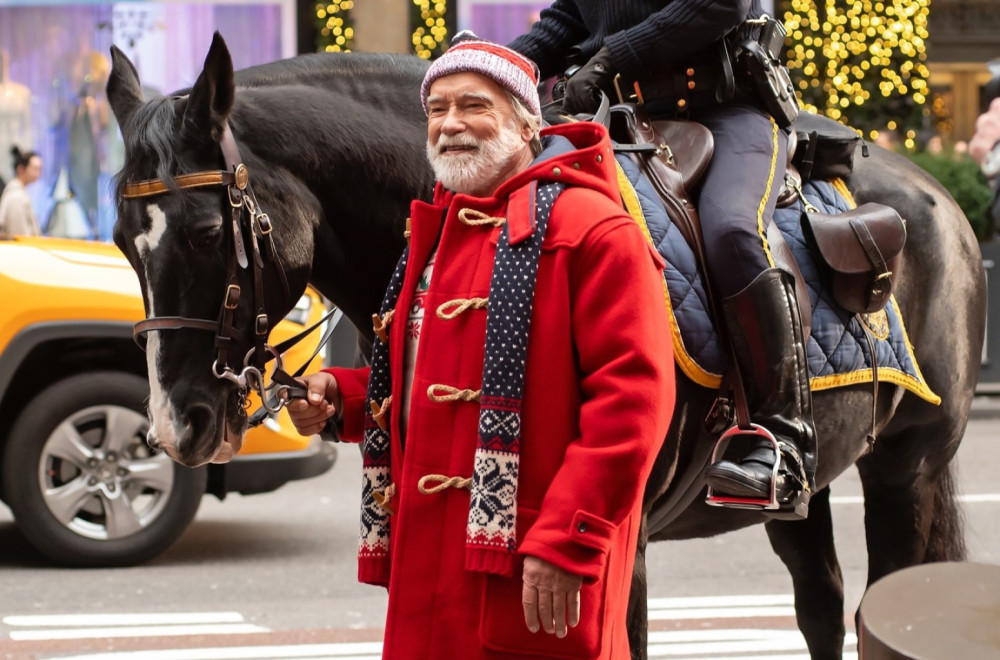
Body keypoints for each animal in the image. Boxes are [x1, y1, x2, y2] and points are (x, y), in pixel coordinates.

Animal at [105, 34, 980, 660]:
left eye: (208, 232)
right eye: (118, 240)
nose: (175, 423)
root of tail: (937, 197)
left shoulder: (614, 543)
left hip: (905, 469)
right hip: (810, 486)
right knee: (821, 606)